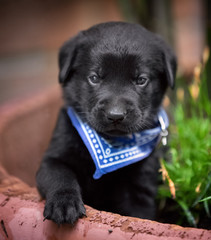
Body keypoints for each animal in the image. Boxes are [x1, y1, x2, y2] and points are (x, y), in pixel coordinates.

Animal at [36, 21, 176, 224]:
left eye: (141, 80)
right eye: (94, 78)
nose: (115, 115)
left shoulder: (140, 182)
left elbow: (138, 212)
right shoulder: (54, 155)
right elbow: (59, 174)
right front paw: (64, 203)